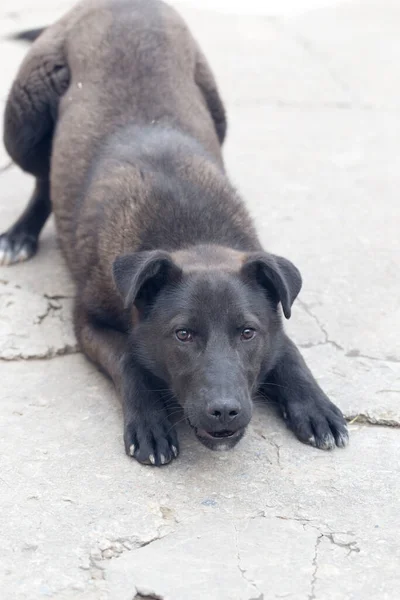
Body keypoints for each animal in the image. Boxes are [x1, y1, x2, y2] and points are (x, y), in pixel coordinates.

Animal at [0, 0, 346, 464]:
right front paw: (150, 421)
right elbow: (129, 358)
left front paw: (313, 403)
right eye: (183, 335)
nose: (225, 410)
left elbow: (287, 349)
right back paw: (20, 234)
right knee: (43, 178)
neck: (190, 235)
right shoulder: (87, 321)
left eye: (248, 332)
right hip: (24, 121)